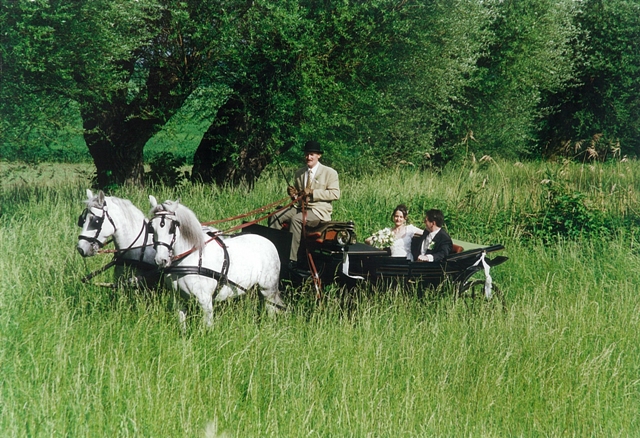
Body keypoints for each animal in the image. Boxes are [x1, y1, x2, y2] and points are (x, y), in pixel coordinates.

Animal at [149, 195, 284, 326]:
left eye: (172, 228)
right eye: (152, 227)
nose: (161, 260)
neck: (190, 259)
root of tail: (269, 242)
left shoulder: (205, 302)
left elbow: (207, 327)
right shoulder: (178, 300)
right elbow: (182, 326)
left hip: (268, 290)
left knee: (271, 309)